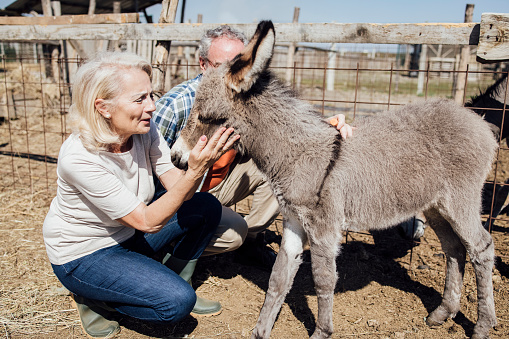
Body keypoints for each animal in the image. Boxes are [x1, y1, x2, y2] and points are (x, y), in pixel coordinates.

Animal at [171, 21, 496, 339]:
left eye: (206, 116)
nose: (175, 157)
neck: (298, 155)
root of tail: (477, 120)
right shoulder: (293, 222)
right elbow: (278, 277)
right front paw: (260, 332)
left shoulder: (324, 228)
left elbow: (323, 279)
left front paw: (322, 332)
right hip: (436, 206)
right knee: (454, 249)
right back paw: (442, 314)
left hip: (460, 200)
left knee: (481, 246)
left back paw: (482, 326)